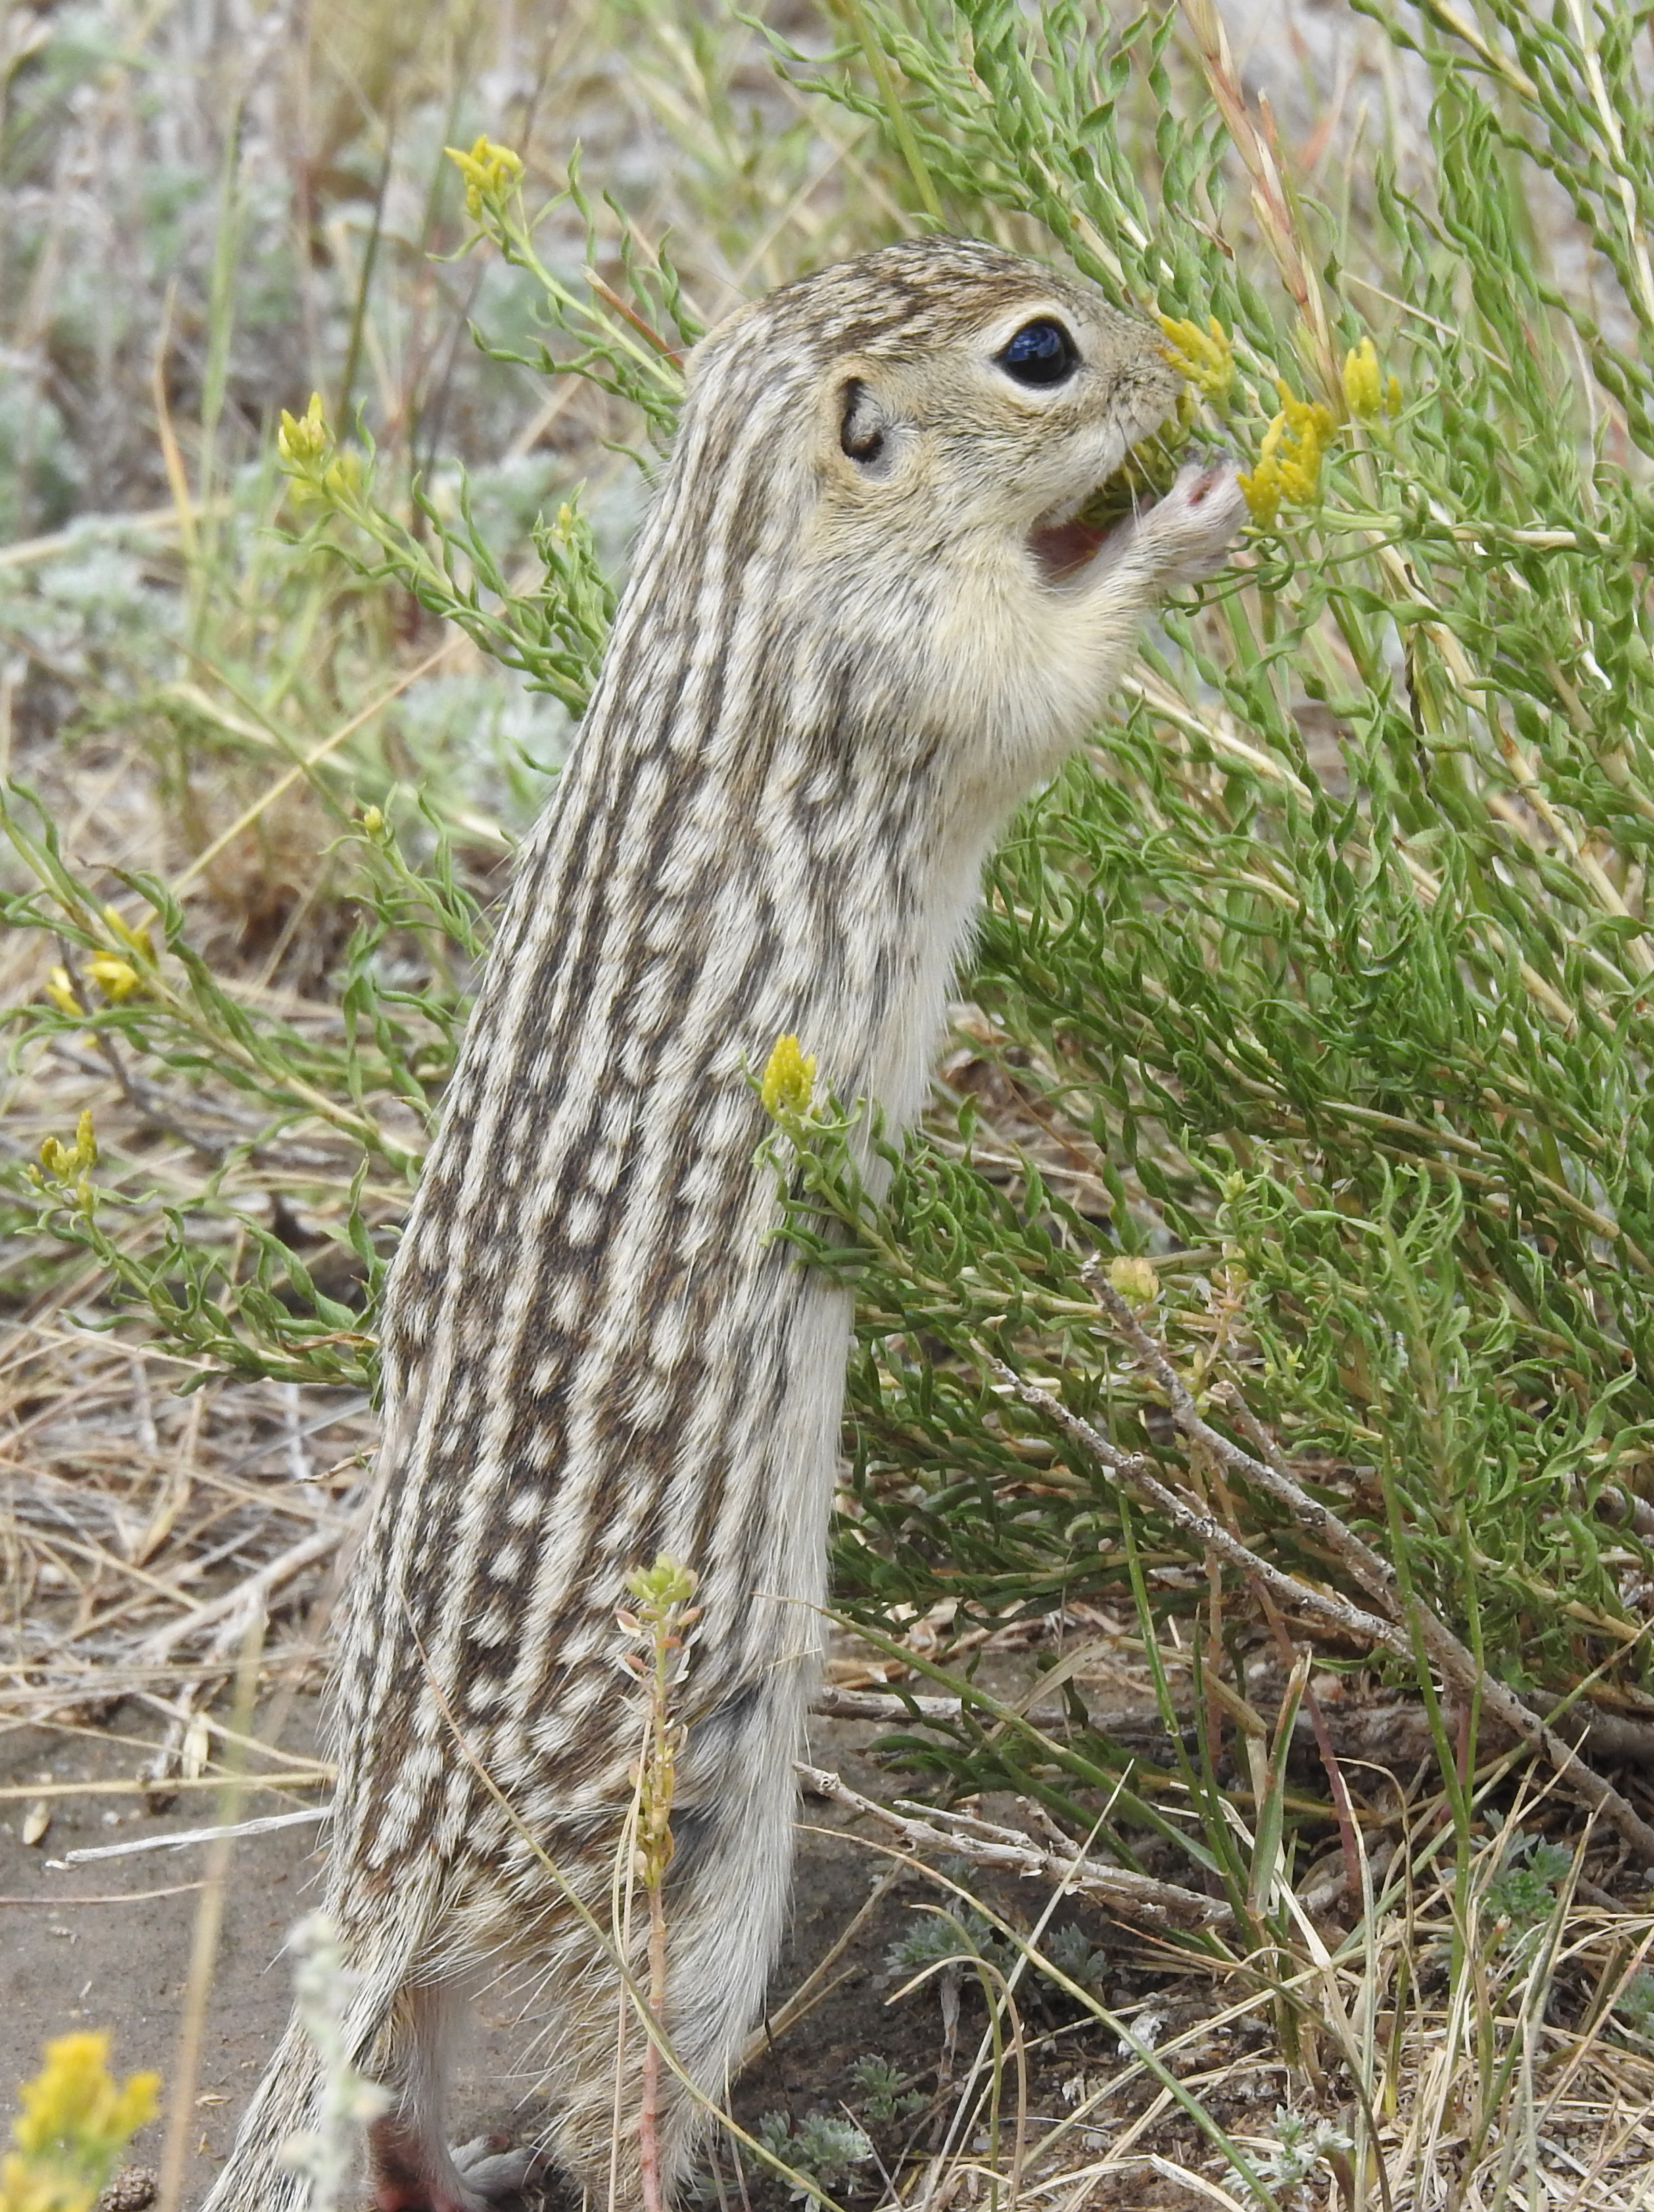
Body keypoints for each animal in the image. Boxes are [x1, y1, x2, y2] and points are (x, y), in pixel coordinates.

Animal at [199, 235, 1246, 2212]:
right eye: (1039, 352)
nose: (1176, 365)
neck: (745, 553)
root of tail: (386, 1853)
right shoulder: (910, 667)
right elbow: (1047, 669)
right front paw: (1185, 520)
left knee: (401, 2072)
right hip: (686, 1871)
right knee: (608, 2090)